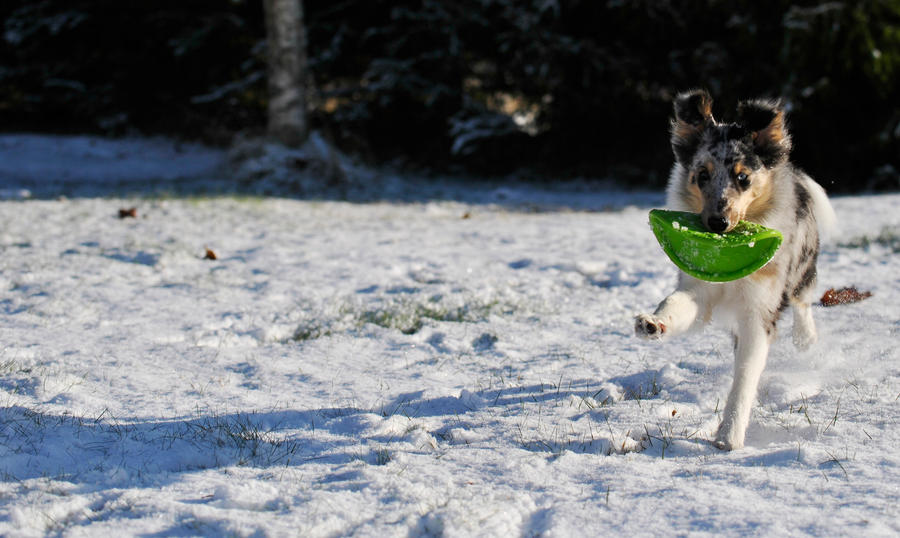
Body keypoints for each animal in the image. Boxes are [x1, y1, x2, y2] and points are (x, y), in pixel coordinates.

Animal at [632, 88, 836, 448]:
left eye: (743, 177)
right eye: (701, 175)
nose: (717, 223)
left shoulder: (759, 311)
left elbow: (745, 376)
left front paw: (729, 435)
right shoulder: (700, 286)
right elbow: (678, 303)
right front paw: (653, 323)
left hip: (804, 261)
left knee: (802, 298)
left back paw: (805, 337)